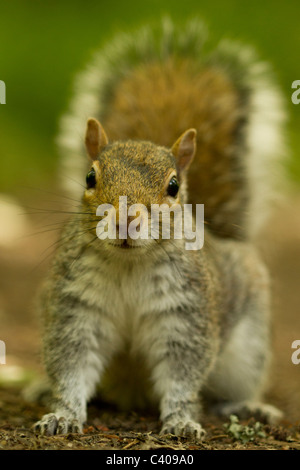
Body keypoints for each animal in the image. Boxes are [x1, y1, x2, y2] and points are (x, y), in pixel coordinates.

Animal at [30, 18, 286, 436]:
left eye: (173, 186)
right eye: (89, 177)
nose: (125, 219)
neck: (128, 265)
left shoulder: (185, 314)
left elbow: (182, 375)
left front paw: (181, 421)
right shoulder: (76, 306)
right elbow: (72, 365)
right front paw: (62, 414)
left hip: (246, 351)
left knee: (233, 387)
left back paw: (248, 405)